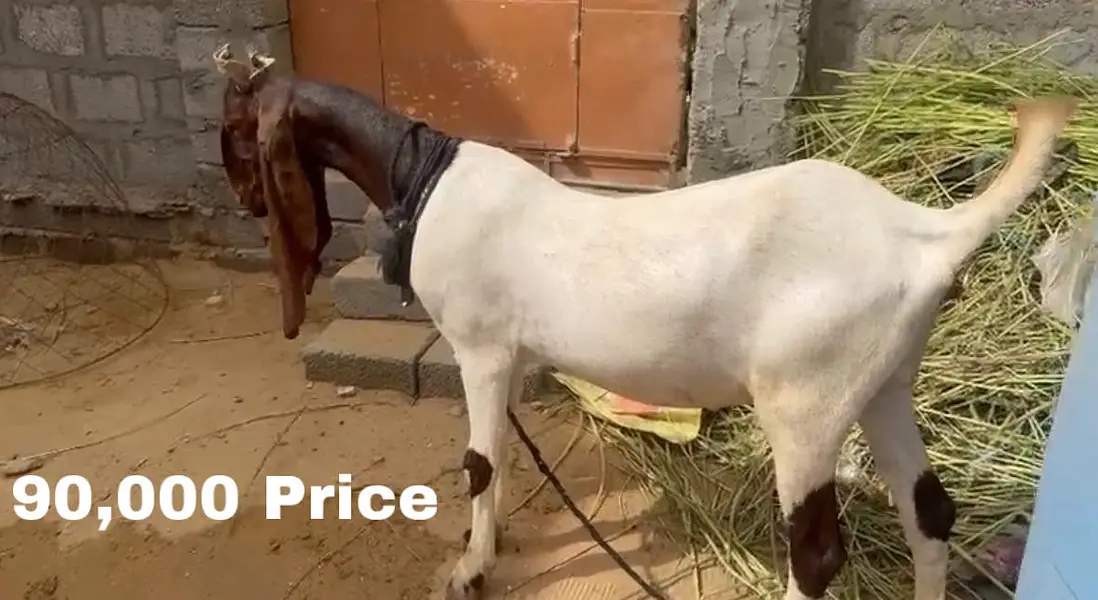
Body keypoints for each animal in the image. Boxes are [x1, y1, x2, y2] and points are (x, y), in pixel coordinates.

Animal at [212, 44, 1077, 600]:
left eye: (238, 139)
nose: (248, 204)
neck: (422, 175)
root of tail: (921, 230)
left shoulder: (481, 348)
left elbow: (479, 462)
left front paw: (468, 571)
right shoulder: (516, 355)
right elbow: (506, 458)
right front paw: (487, 543)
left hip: (806, 399)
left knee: (816, 553)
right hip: (883, 381)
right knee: (929, 513)